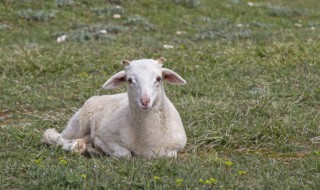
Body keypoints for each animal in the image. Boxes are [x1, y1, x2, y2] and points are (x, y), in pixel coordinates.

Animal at [42, 58, 188, 159]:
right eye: (129, 80)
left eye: (159, 79)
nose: (145, 101)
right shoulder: (107, 137)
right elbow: (124, 154)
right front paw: (100, 147)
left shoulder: (175, 148)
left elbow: (169, 155)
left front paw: (95, 149)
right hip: (79, 122)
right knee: (55, 137)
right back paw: (74, 146)